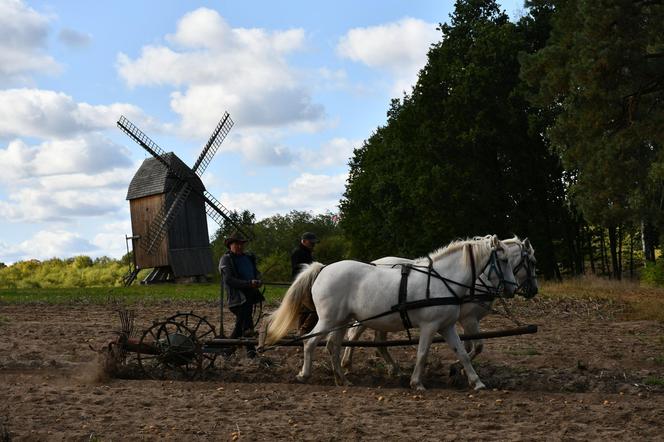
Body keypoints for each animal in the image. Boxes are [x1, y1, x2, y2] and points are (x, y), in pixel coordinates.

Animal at [268, 235, 516, 390]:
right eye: (503, 260)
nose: (513, 289)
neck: (442, 280)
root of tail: (324, 268)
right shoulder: (430, 326)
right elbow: (422, 353)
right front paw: (417, 383)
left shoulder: (446, 326)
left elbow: (462, 353)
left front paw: (477, 382)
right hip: (329, 318)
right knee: (310, 342)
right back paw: (304, 375)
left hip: (342, 320)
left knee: (332, 346)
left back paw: (342, 379)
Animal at [340, 237, 536, 374]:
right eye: (532, 262)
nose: (534, 290)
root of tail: (375, 262)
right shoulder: (469, 318)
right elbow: (478, 346)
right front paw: (457, 367)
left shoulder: (462, 320)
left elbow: (466, 346)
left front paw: (461, 367)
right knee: (354, 335)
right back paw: (347, 364)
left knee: (378, 341)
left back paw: (390, 367)